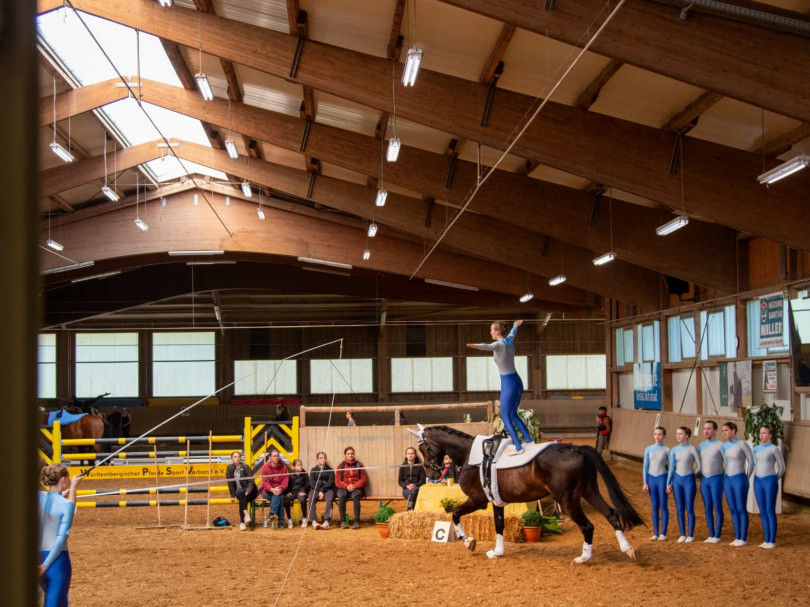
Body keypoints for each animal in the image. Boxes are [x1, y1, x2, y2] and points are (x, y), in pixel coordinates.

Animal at [409, 424, 644, 564]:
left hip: (567, 500)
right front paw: (497, 551)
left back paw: (583, 558)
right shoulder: (496, 502)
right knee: (611, 514)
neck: (471, 455)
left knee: (587, 526)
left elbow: (455, 514)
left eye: (423, 449)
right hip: (589, 491)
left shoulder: (477, 500)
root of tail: (577, 449)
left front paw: (468, 541)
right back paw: (628, 549)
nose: (431, 473)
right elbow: (499, 525)